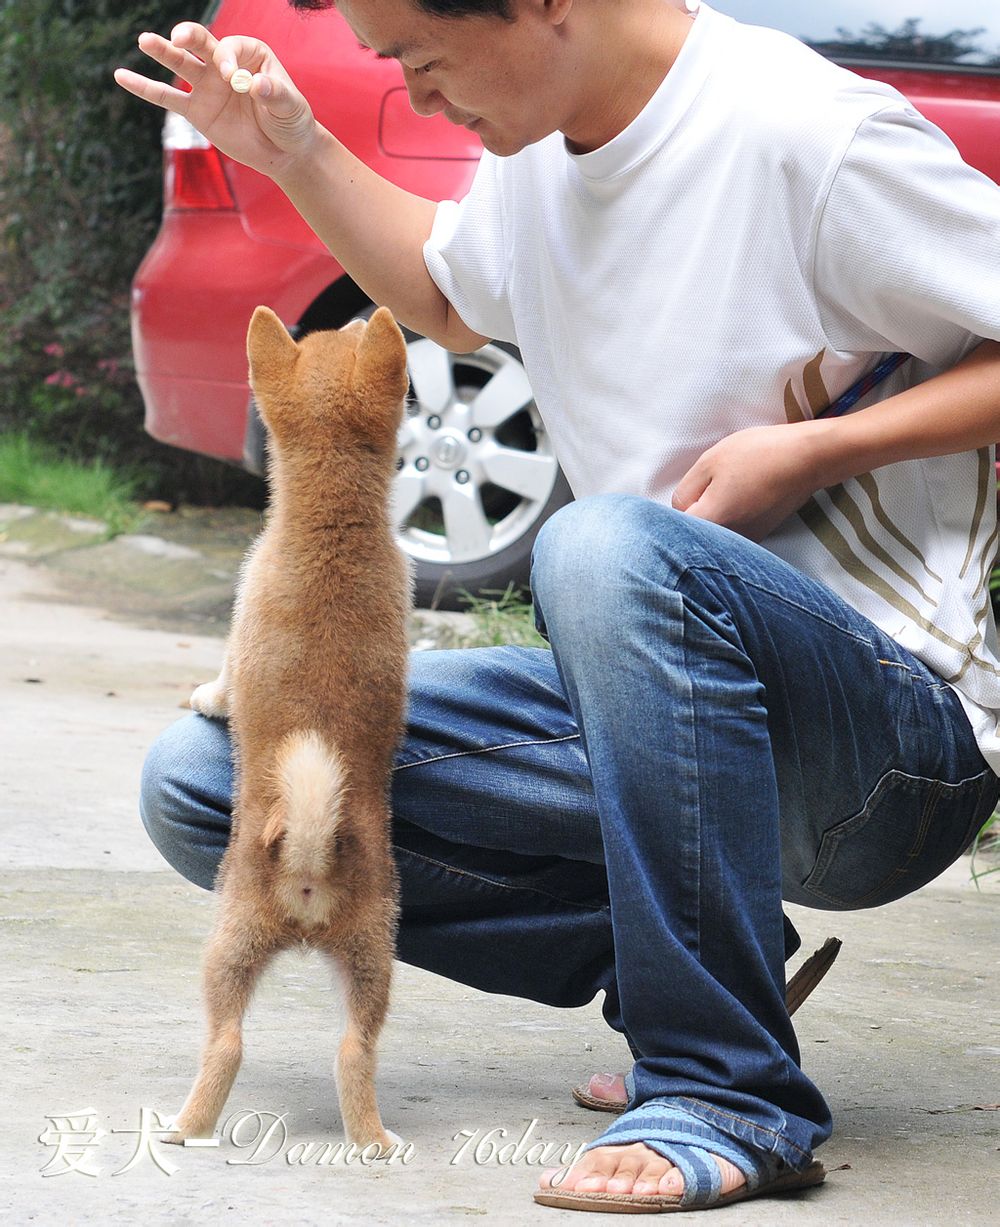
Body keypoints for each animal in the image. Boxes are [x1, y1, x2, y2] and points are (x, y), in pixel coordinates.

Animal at [166, 305, 411, 1151]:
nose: (349, 308)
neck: (331, 523)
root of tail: (309, 863)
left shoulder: (237, 641)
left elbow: (222, 682)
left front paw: (205, 699)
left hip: (224, 949)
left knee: (224, 1042)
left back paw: (184, 1125)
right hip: (372, 959)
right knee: (355, 1052)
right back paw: (373, 1139)